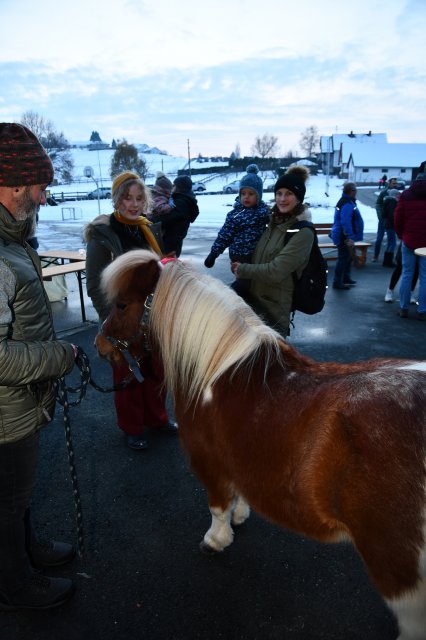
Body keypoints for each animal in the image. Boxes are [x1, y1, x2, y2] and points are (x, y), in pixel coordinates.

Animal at [96, 248, 426, 636]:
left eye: (121, 304)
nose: (100, 344)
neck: (221, 368)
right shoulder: (236, 461)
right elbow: (237, 495)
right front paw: (240, 516)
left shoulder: (209, 464)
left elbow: (217, 507)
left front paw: (217, 540)